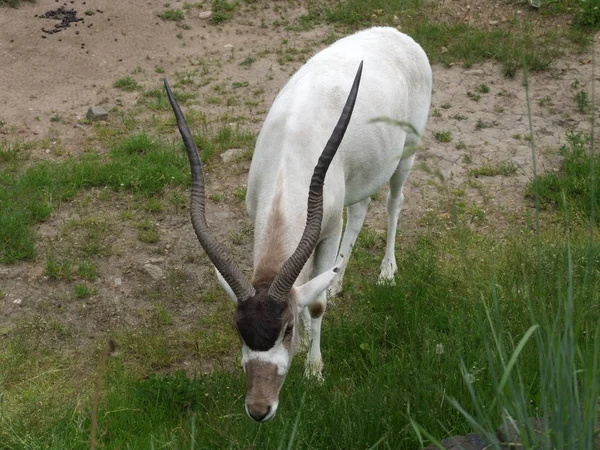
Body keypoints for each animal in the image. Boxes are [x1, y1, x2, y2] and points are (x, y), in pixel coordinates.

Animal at [164, 27, 432, 422]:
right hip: (360, 178)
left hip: (405, 153)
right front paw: (308, 340)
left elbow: (316, 303)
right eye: (238, 330)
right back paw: (339, 281)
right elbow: (305, 285)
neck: (288, 154)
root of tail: (397, 35)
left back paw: (386, 272)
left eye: (285, 328)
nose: (259, 409)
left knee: (394, 202)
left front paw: (314, 369)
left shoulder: (327, 227)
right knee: (361, 208)